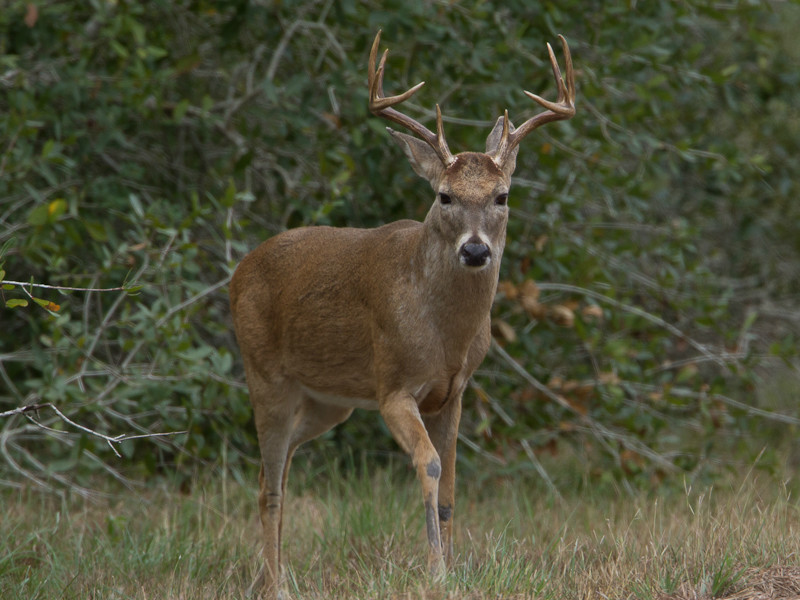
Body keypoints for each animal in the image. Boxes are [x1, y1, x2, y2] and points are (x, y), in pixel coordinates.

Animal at [230, 30, 576, 596]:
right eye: (444, 196)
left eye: (503, 196)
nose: (475, 250)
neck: (444, 334)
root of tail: (239, 271)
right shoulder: (393, 385)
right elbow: (429, 466)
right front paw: (436, 572)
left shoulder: (455, 391)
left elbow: (453, 485)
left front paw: (456, 570)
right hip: (265, 376)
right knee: (271, 485)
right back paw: (277, 585)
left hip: (329, 401)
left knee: (270, 472)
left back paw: (264, 578)